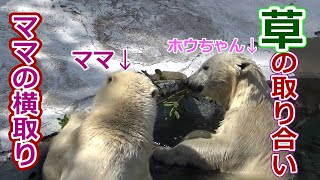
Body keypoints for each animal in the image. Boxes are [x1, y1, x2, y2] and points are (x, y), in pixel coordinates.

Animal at [152, 52, 290, 179]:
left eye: (205, 67)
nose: (187, 81)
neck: (247, 98)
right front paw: (188, 136)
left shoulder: (247, 126)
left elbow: (222, 148)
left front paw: (160, 151)